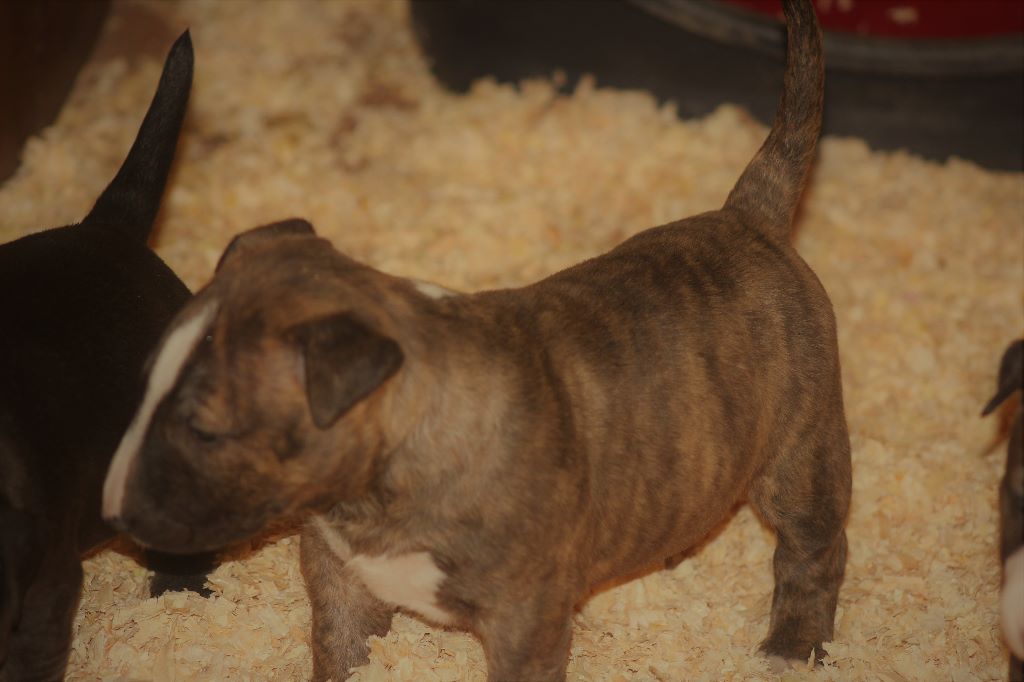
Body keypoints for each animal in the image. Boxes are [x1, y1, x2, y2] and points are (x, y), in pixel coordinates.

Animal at [103, 1, 850, 679]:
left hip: (802, 455)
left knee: (815, 550)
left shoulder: (529, 620)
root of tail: (749, 215)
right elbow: (340, 655)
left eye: (205, 431)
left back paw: (791, 650)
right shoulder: (343, 587)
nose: (113, 511)